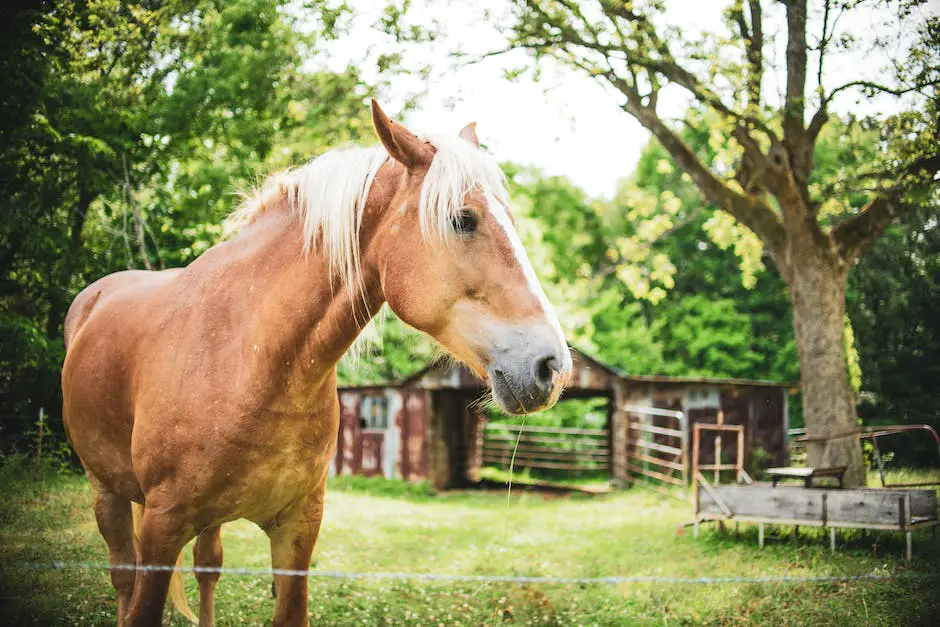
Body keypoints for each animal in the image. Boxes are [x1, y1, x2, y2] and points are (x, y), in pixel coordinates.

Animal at [62, 100, 572, 624]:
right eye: (463, 219)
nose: (552, 366)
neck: (250, 360)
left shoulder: (298, 530)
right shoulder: (162, 528)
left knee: (208, 568)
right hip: (105, 490)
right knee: (124, 576)